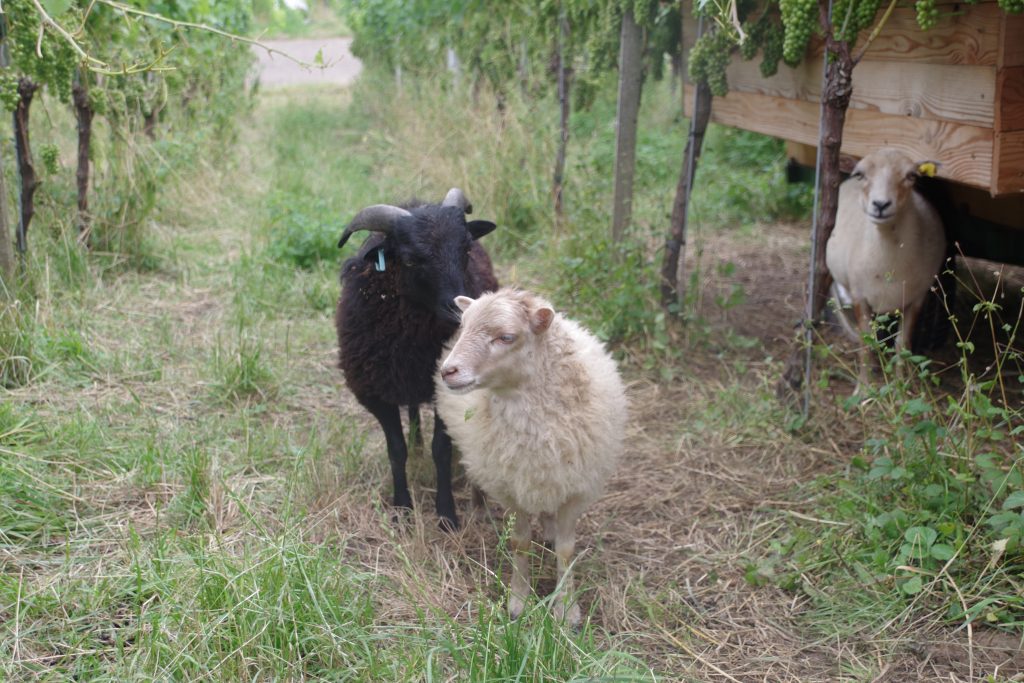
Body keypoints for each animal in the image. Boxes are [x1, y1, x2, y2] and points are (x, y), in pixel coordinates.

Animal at [336, 188, 499, 531]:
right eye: (410, 259)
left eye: (465, 249)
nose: (460, 308)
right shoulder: (375, 391)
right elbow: (396, 450)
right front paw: (401, 509)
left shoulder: (446, 388)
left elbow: (442, 450)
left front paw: (447, 514)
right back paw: (415, 439)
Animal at [435, 289, 627, 625]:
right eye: (464, 326)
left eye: (506, 337)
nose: (448, 371)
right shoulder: (511, 489)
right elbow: (520, 543)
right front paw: (519, 602)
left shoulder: (574, 489)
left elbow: (566, 549)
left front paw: (567, 609)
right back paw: (478, 507)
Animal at [825, 148, 947, 388]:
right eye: (860, 174)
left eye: (912, 176)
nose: (880, 205)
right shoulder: (860, 295)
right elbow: (866, 343)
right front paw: (864, 387)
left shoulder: (917, 298)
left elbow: (903, 344)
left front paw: (901, 387)